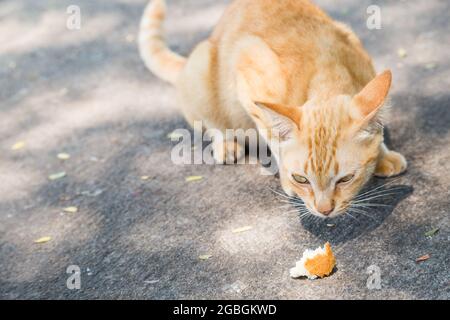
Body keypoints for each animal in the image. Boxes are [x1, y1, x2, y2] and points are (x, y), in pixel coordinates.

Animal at [140, 0, 408, 218]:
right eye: (301, 179)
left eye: (345, 179)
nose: (324, 211)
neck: (328, 71)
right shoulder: (248, 75)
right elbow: (274, 137)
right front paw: (287, 179)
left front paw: (382, 154)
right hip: (201, 69)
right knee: (210, 124)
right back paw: (226, 143)